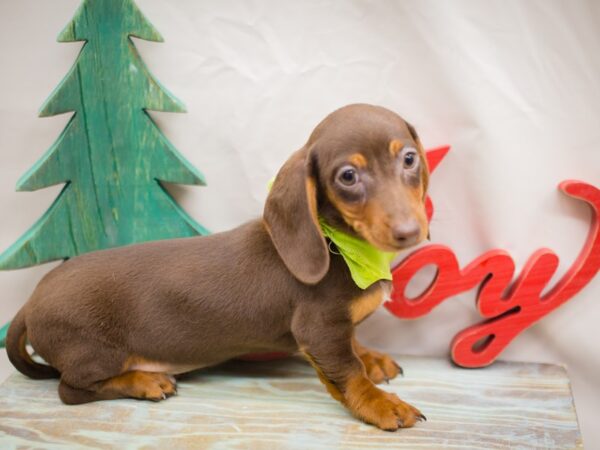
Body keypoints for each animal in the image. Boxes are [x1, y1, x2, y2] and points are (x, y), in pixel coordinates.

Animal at [5, 103, 426, 430]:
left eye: (409, 158)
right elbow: (348, 371)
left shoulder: (339, 327)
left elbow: (353, 344)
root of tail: (30, 301)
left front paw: (371, 357)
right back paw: (144, 382)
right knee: (71, 390)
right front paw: (380, 404)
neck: (343, 248)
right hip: (94, 353)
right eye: (348, 176)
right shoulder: (319, 329)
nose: (410, 231)